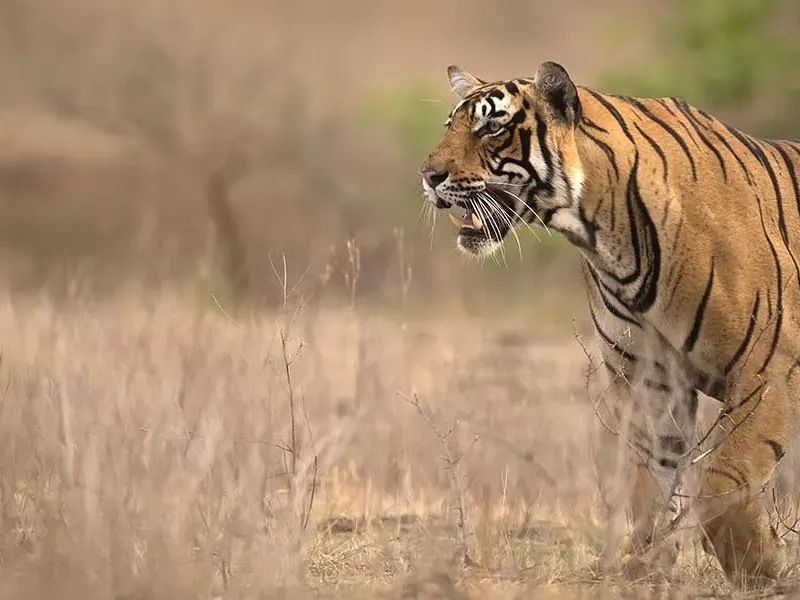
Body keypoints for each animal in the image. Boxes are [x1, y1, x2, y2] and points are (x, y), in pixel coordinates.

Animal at [419, 60, 800, 587]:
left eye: (491, 127)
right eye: (449, 125)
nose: (428, 175)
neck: (602, 233)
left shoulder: (769, 367)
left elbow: (726, 478)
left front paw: (761, 572)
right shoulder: (648, 377)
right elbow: (649, 485)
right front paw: (644, 571)